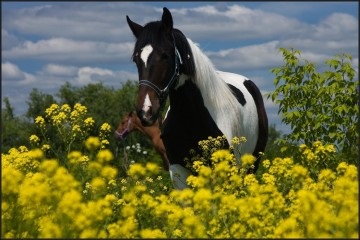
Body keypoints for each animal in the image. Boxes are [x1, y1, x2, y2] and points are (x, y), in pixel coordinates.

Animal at [126, 6, 268, 188]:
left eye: (165, 55)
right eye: (136, 59)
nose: (146, 110)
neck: (193, 118)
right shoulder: (177, 169)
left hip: (251, 164)